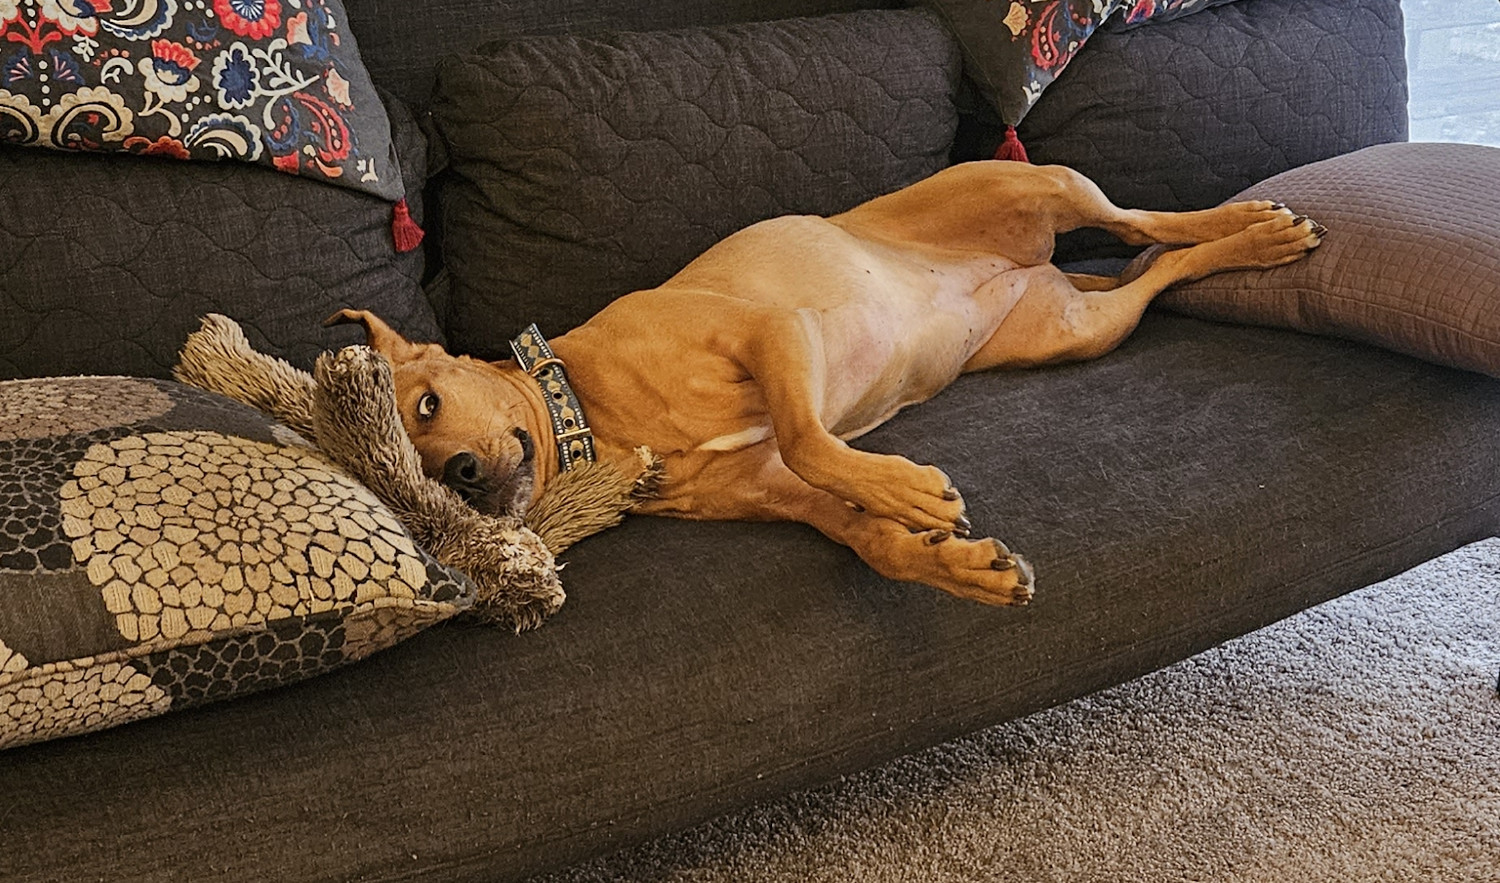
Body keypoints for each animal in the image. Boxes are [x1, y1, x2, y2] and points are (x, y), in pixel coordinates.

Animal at [331, 160, 1326, 605]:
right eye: (411, 486)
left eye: (427, 403)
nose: (459, 476)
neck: (598, 417)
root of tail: (1034, 265)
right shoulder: (782, 492)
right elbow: (865, 536)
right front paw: (954, 562)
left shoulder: (770, 332)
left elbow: (815, 439)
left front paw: (909, 491)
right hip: (1076, 331)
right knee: (1152, 274)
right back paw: (1238, 244)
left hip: (1045, 184)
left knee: (1145, 223)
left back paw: (1257, 228)